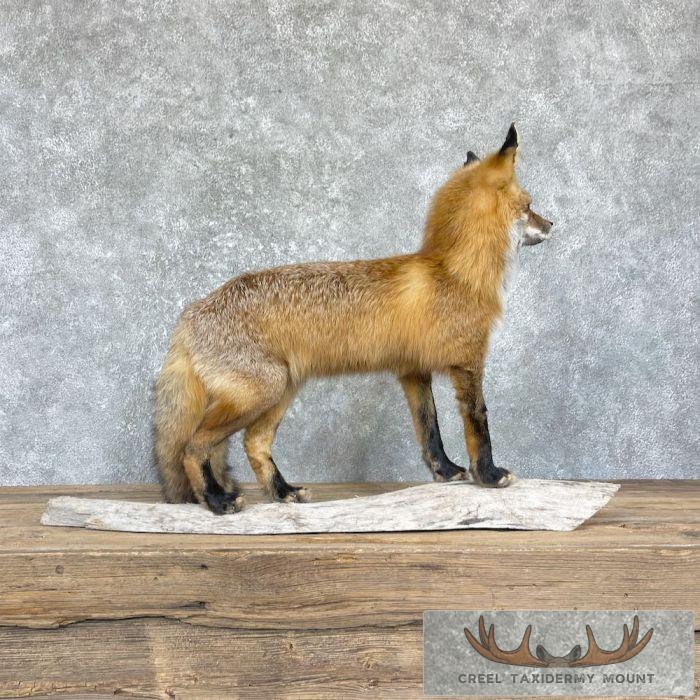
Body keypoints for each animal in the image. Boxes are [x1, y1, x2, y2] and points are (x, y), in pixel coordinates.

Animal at [154, 124, 553, 514]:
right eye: (529, 206)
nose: (552, 223)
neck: (456, 273)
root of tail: (191, 313)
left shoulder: (412, 371)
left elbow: (429, 429)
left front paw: (446, 471)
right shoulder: (468, 363)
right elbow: (479, 424)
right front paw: (488, 475)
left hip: (279, 392)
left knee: (254, 444)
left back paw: (282, 492)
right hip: (260, 392)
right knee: (192, 447)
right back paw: (216, 500)